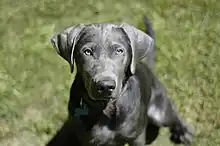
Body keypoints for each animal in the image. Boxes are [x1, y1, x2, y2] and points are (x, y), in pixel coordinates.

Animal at [46, 16, 194, 146]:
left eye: (119, 51)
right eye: (87, 52)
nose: (106, 86)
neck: (106, 108)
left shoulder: (136, 138)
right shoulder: (88, 140)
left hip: (158, 113)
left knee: (172, 113)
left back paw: (185, 133)